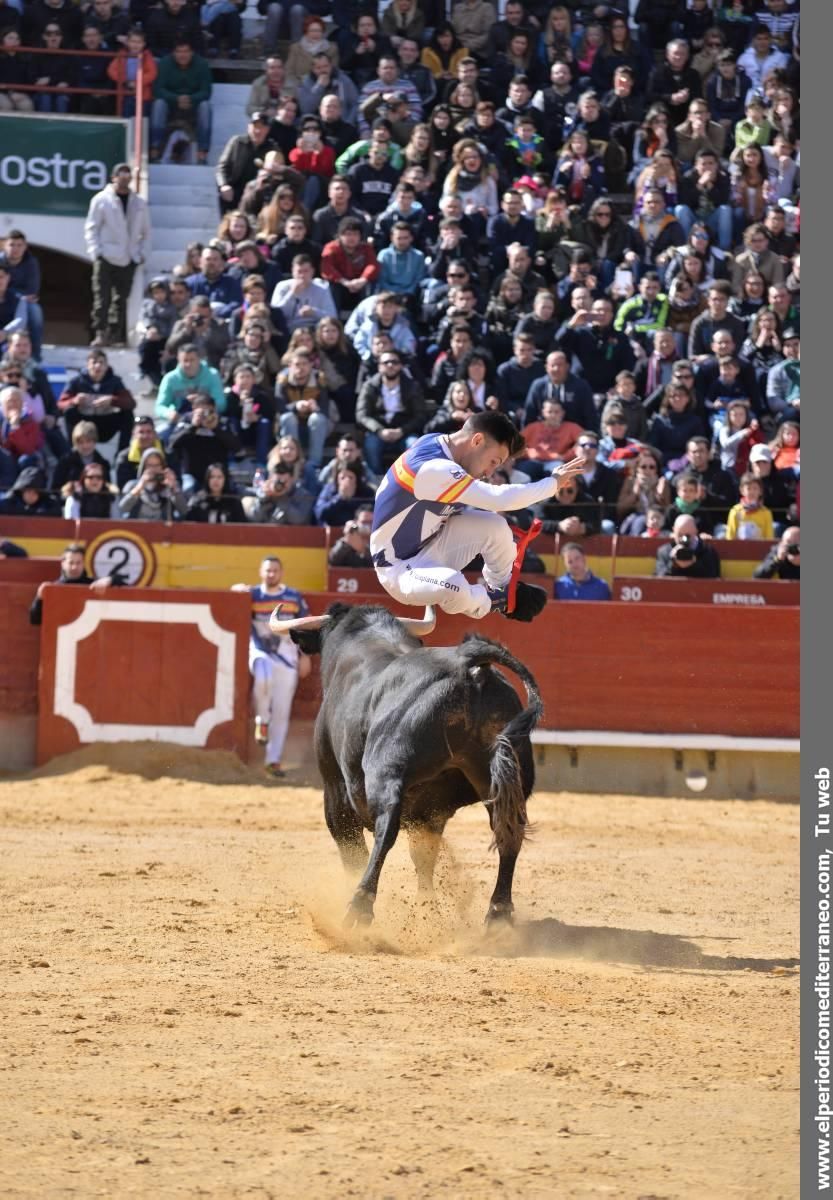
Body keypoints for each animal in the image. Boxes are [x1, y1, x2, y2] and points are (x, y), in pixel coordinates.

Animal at [290, 609, 544, 926]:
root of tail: (468, 663)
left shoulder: (334, 789)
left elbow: (353, 850)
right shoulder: (430, 812)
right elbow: (423, 855)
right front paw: (429, 910)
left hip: (386, 768)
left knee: (386, 828)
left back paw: (360, 906)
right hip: (502, 778)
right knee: (509, 833)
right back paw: (498, 914)